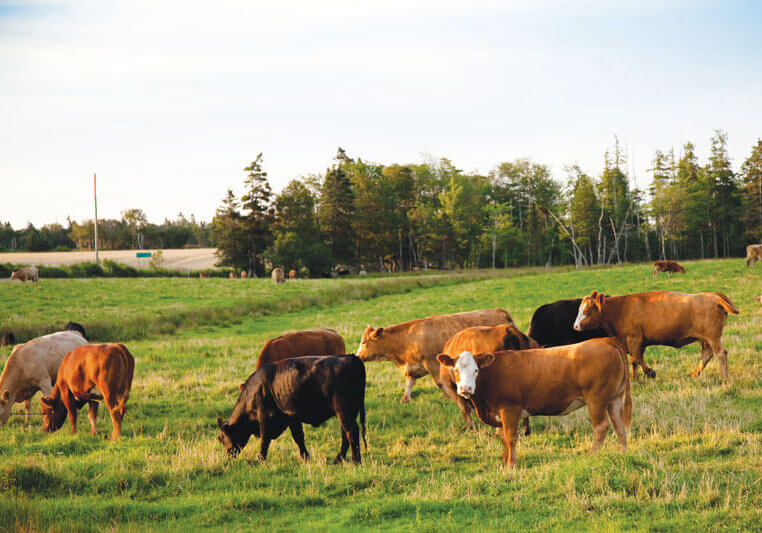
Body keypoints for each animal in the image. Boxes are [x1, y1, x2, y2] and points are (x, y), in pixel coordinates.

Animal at [217, 355, 367, 463]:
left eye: (220, 438)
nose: (228, 454)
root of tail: (351, 357)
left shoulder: (264, 417)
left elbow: (264, 439)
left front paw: (260, 459)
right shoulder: (292, 417)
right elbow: (298, 437)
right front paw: (305, 457)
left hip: (344, 411)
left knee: (351, 432)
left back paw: (356, 461)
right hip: (346, 413)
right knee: (345, 434)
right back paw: (339, 459)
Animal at [356, 309, 512, 402]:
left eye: (364, 342)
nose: (358, 356)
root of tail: (499, 311)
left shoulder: (431, 362)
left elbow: (439, 382)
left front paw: (448, 396)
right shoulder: (412, 368)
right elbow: (409, 384)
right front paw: (405, 399)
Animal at [437, 338, 632, 468]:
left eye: (476, 370)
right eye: (456, 369)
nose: (466, 389)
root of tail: (605, 341)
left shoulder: (510, 408)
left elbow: (510, 437)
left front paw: (511, 465)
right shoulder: (500, 413)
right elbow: (502, 437)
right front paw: (504, 461)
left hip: (596, 399)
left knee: (601, 427)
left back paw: (591, 455)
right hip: (614, 399)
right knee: (619, 426)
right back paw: (622, 453)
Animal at [574, 290, 739, 380]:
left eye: (586, 311)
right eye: (579, 310)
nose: (575, 326)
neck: (620, 309)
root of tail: (713, 295)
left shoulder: (634, 339)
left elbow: (636, 358)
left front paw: (650, 373)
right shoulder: (637, 342)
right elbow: (635, 360)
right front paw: (636, 378)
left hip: (712, 336)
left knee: (720, 353)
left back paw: (724, 377)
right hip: (704, 338)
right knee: (706, 355)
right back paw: (695, 374)